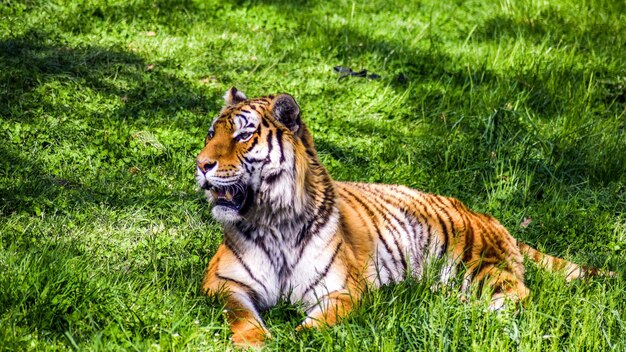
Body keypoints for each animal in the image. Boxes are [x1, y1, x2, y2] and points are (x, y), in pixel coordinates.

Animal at [194, 87, 608, 346]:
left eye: (243, 136)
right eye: (212, 133)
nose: (201, 165)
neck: (274, 219)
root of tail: (486, 214)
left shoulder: (342, 291)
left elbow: (315, 327)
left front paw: (294, 338)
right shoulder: (224, 281)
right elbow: (242, 316)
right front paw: (254, 341)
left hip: (477, 265)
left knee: (519, 294)